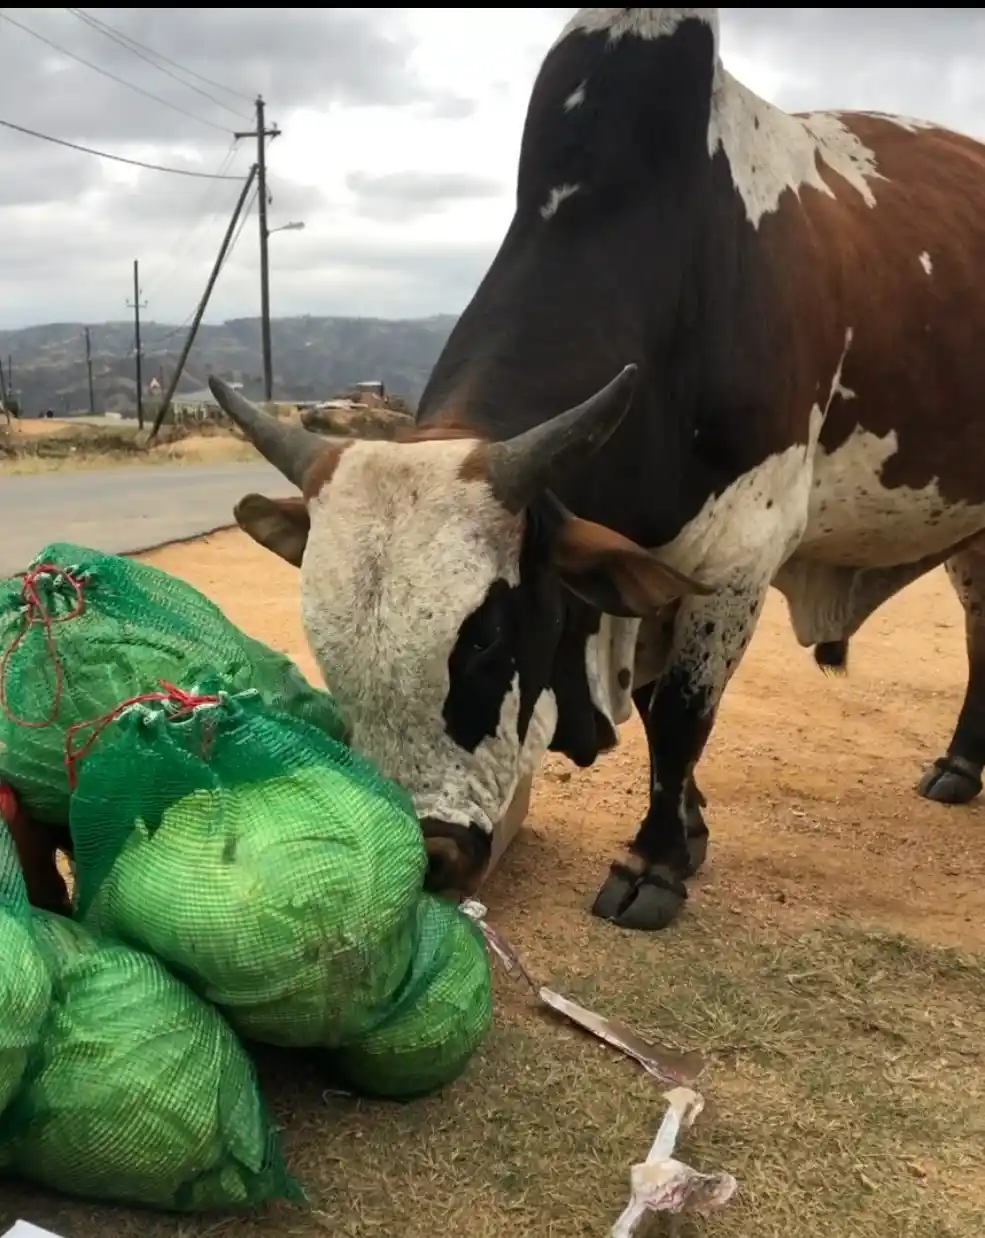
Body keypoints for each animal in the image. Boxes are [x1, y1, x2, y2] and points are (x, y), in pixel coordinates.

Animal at [206, 6, 985, 933]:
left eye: (488, 636)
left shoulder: (739, 556)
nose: (429, 860)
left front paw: (654, 864)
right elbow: (652, 710)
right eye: (324, 647)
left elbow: (681, 715)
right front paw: (688, 829)